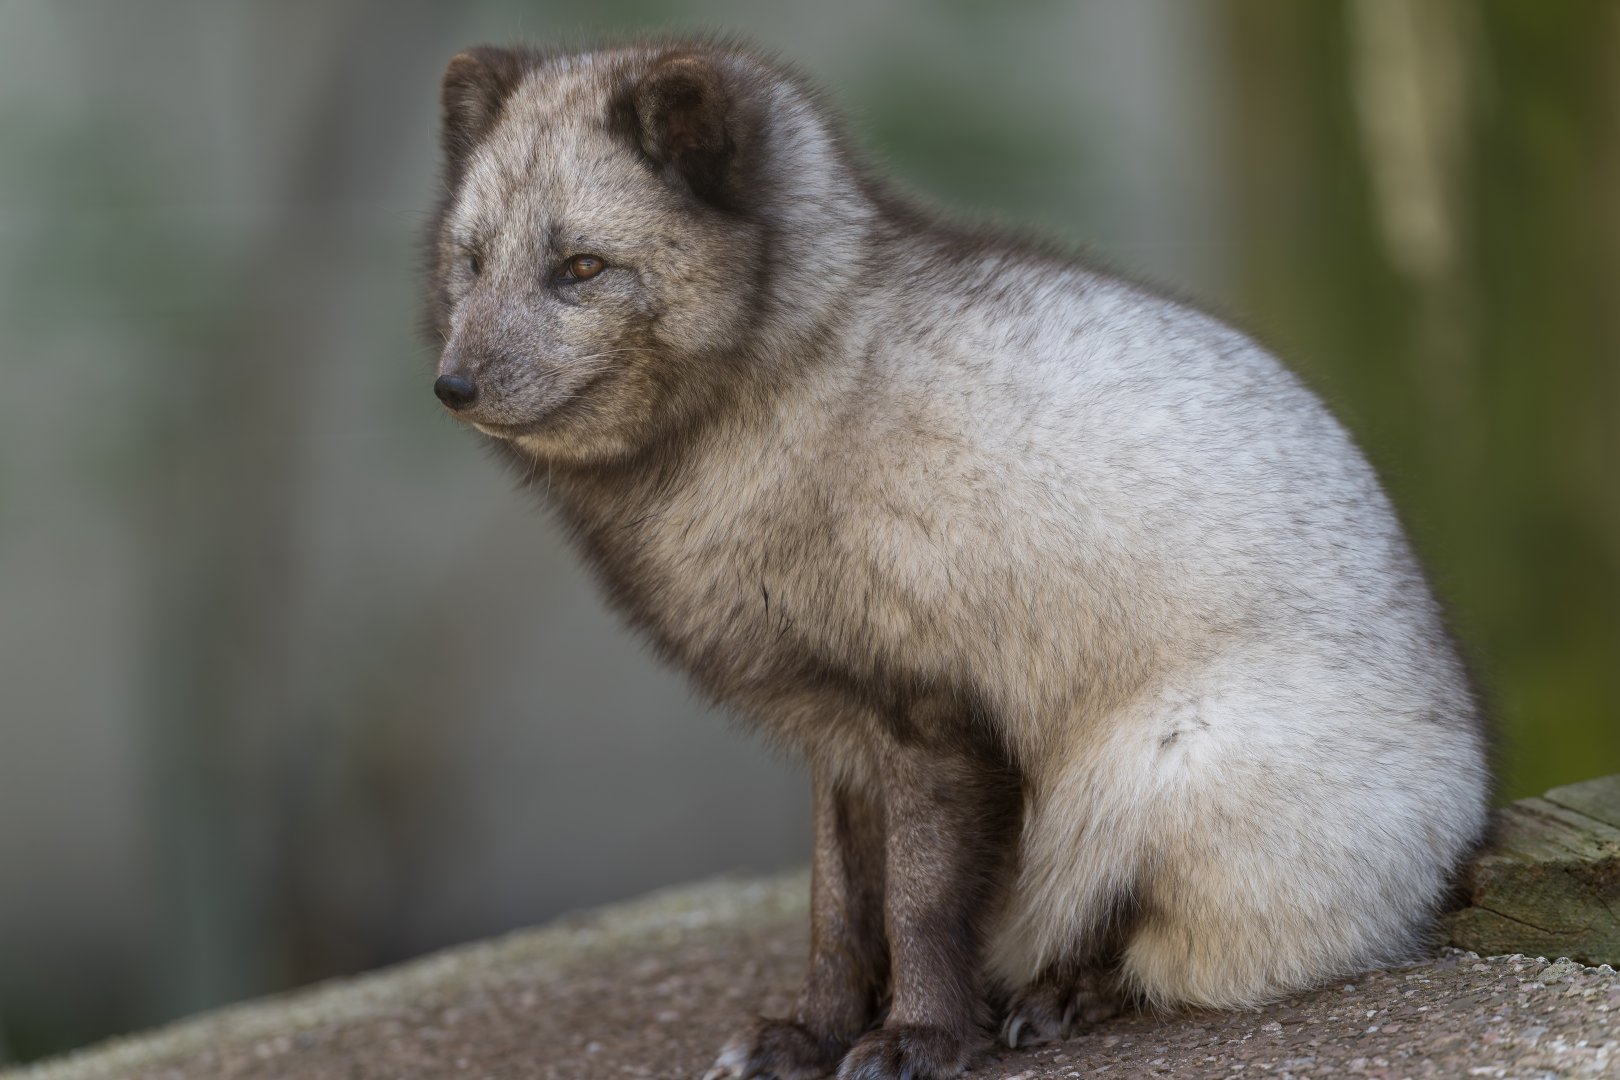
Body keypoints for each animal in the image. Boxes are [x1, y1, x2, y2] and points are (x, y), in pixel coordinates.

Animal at [422, 39, 1490, 1080]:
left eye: (582, 266)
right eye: (470, 262)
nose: (451, 387)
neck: (797, 390)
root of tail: (1466, 823)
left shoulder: (933, 711)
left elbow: (919, 906)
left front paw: (920, 1039)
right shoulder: (838, 734)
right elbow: (838, 912)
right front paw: (811, 1035)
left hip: (1162, 763)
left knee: (1174, 952)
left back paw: (1061, 997)